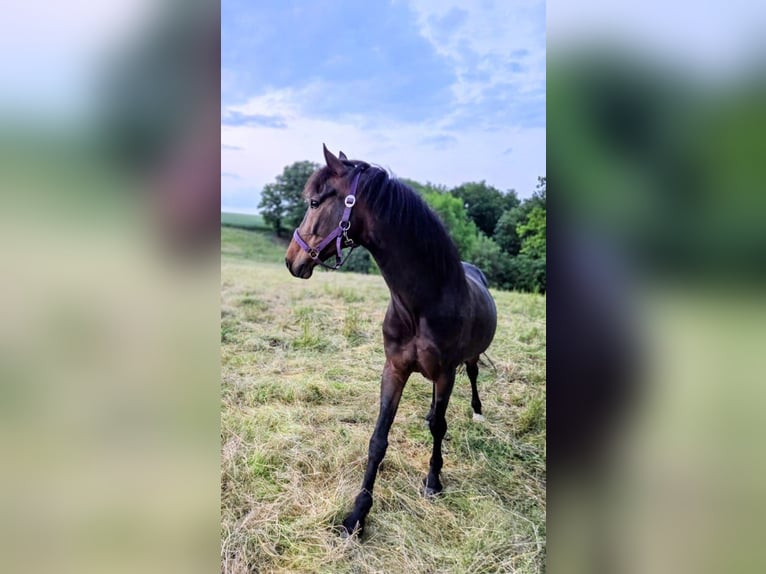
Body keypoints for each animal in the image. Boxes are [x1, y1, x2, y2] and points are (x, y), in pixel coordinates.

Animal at [285, 145, 497, 536]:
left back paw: (477, 411)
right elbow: (378, 439)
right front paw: (357, 513)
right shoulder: (394, 369)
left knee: (473, 376)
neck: (422, 303)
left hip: (469, 359)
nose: (292, 259)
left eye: (315, 202)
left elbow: (440, 427)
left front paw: (434, 481)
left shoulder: (446, 372)